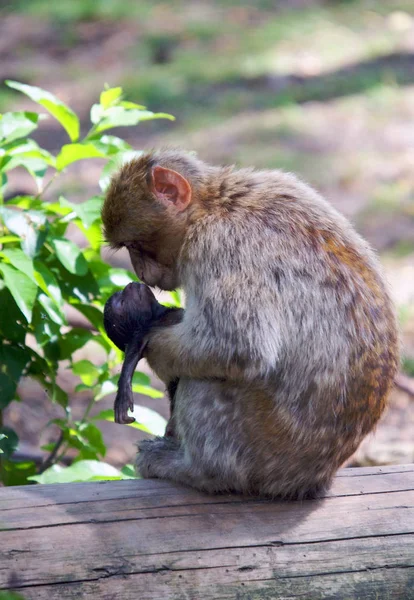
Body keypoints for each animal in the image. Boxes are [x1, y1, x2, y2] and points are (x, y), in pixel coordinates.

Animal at [102, 282, 182, 432]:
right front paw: (123, 392)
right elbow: (134, 351)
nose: (129, 285)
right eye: (122, 301)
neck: (158, 316)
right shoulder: (146, 331)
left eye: (121, 294)